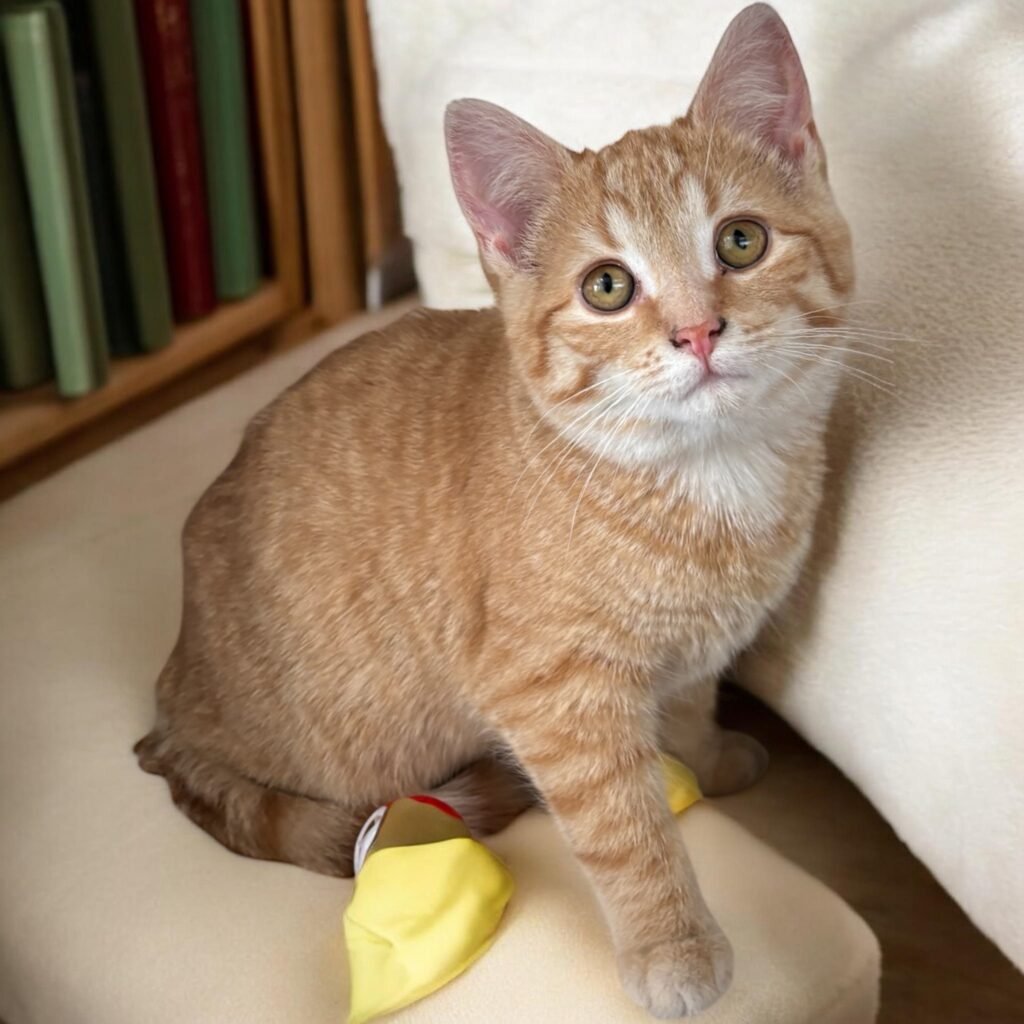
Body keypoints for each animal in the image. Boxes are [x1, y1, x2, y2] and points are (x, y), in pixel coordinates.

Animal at [135, 3, 853, 1017]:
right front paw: (673, 943)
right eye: (607, 286)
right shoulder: (551, 695)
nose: (698, 331)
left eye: (741, 241)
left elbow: (690, 706)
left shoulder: (693, 653)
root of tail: (169, 703)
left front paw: (708, 761)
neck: (708, 482)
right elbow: (628, 827)